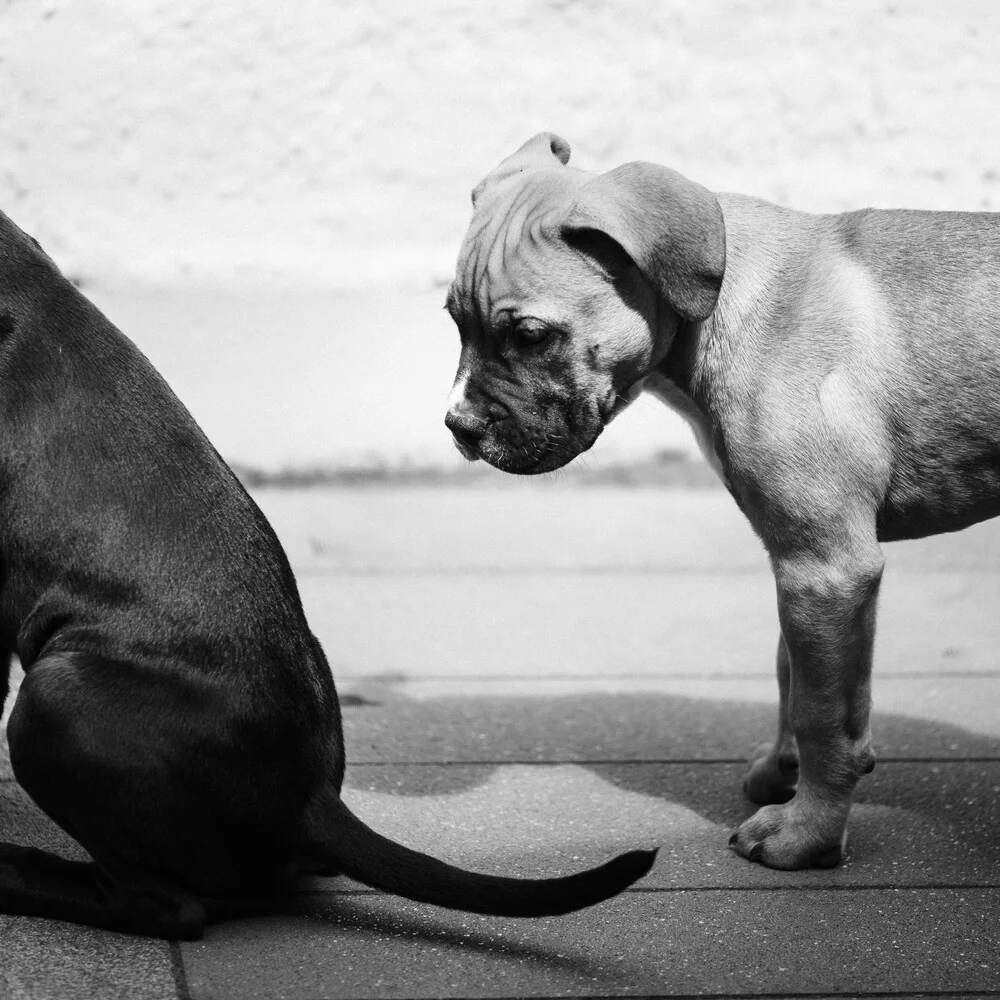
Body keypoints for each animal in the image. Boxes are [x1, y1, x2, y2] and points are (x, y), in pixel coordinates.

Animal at [444, 131, 1000, 868]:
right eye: (454, 321)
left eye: (531, 336)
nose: (459, 427)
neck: (725, 309)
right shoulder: (809, 569)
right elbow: (796, 676)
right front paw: (783, 771)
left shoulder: (824, 568)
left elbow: (823, 716)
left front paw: (808, 833)